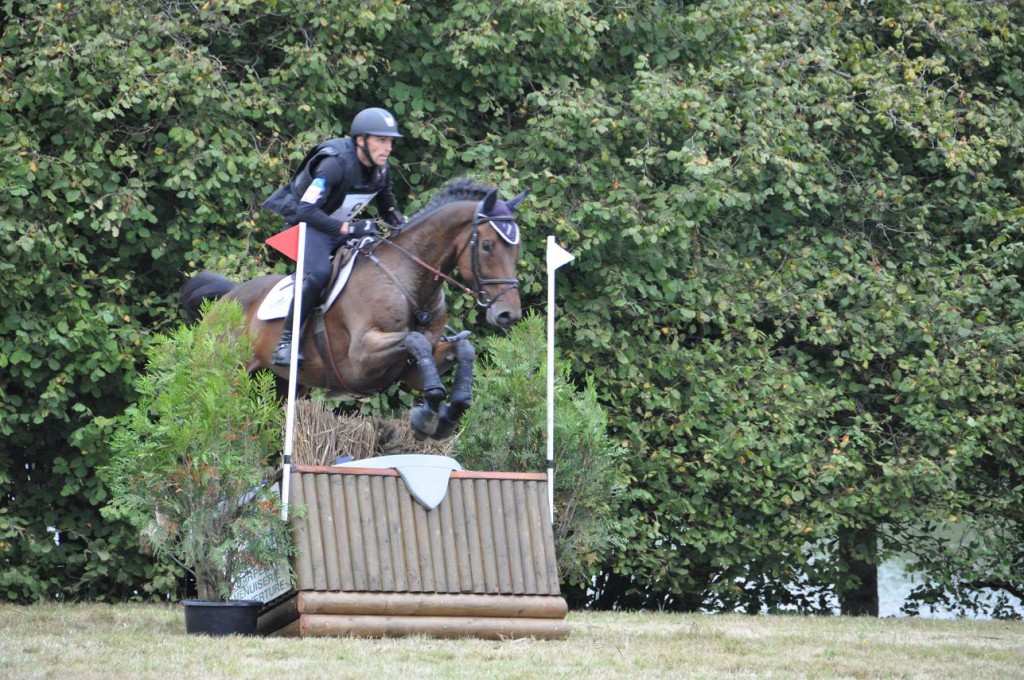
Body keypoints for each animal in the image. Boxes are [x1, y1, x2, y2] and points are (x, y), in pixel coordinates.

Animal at [179, 178, 524, 438]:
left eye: (516, 247)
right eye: (487, 245)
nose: (508, 314)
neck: (408, 282)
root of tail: (226, 298)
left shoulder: (412, 371)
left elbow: (462, 348)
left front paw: (451, 412)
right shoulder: (361, 360)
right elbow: (417, 340)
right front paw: (428, 416)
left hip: (281, 385)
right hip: (225, 377)